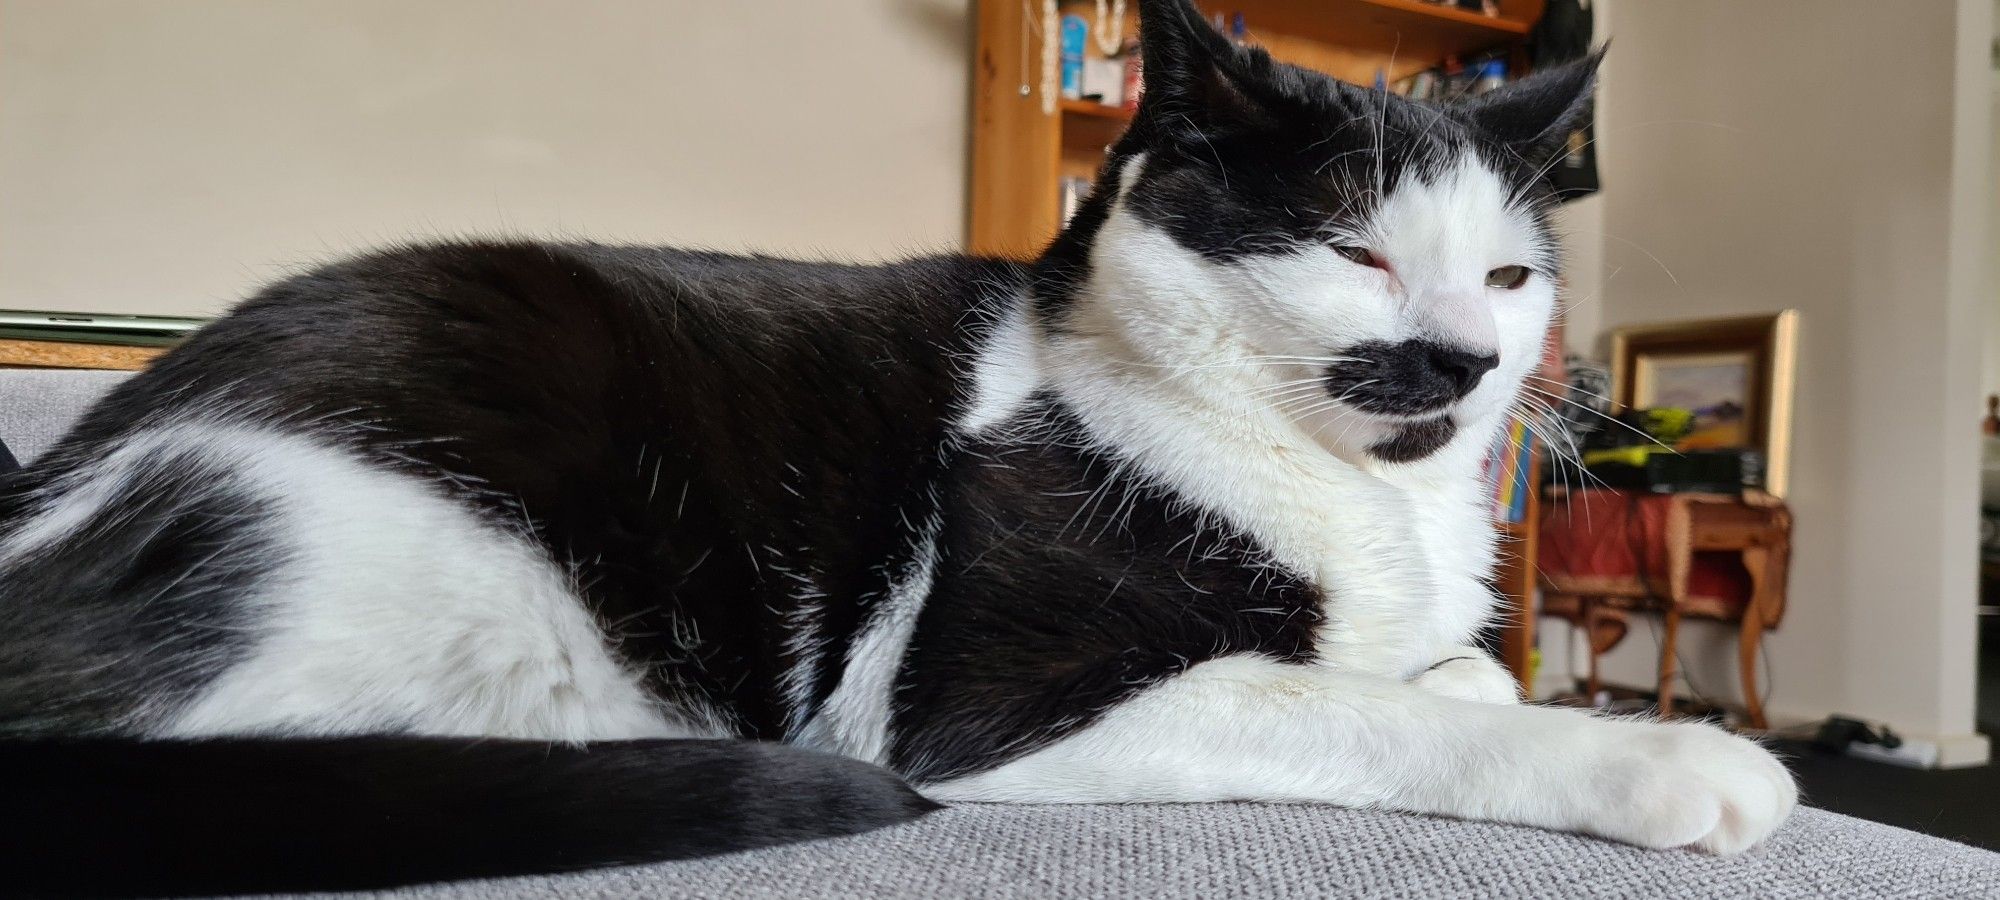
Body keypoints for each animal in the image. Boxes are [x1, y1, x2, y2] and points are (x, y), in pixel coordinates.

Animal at [0, 1, 1800, 892]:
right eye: (1359, 252)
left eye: (1508, 275)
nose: (1470, 360)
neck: (1370, 500)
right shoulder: (984, 704)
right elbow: (1373, 714)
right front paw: (1663, 763)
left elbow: (1461, 672)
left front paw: (1474, 670)